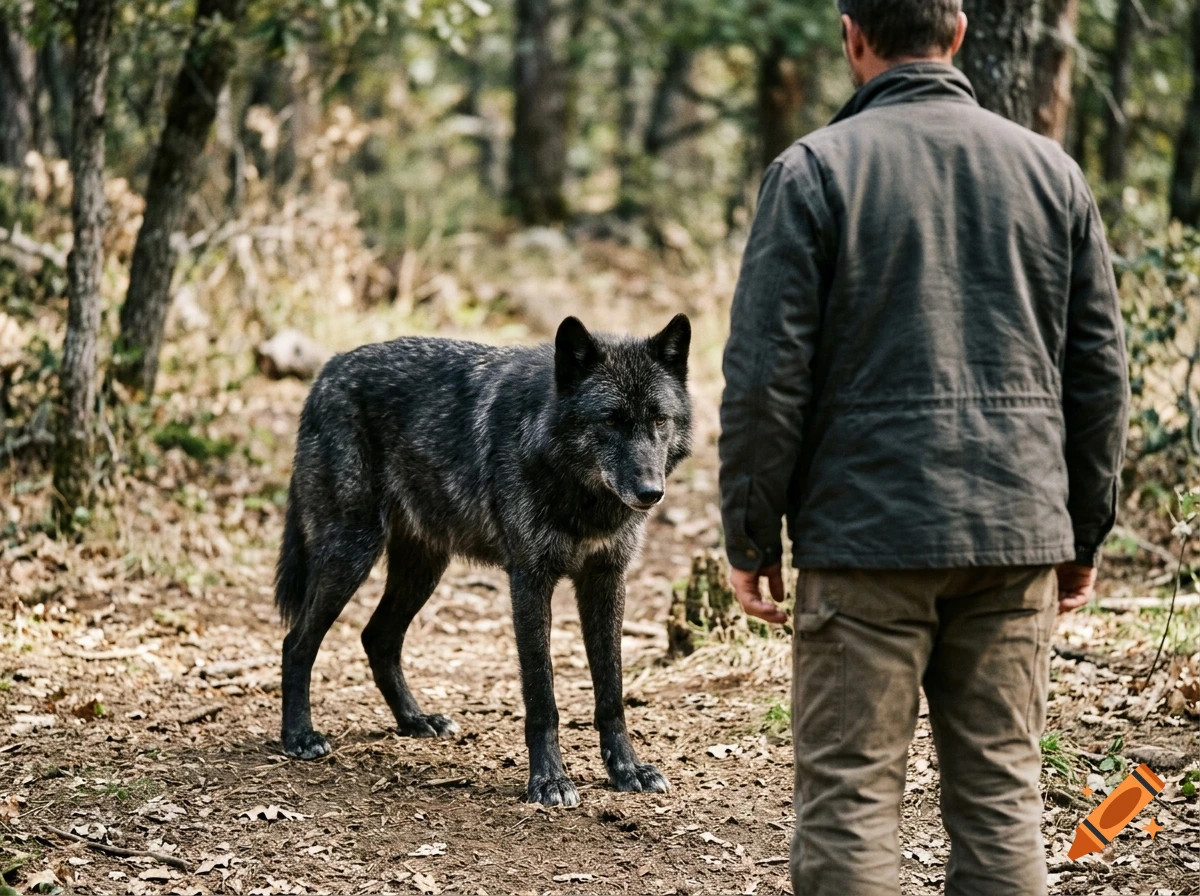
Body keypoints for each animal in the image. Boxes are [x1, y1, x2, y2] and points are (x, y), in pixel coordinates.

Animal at [275, 314, 693, 807]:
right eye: (610, 419)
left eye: (659, 419)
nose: (651, 492)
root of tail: (328, 370)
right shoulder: (529, 581)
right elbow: (541, 695)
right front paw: (548, 781)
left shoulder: (606, 580)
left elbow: (612, 691)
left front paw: (626, 769)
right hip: (350, 554)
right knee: (297, 642)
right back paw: (299, 737)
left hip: (422, 570)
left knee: (376, 637)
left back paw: (415, 721)